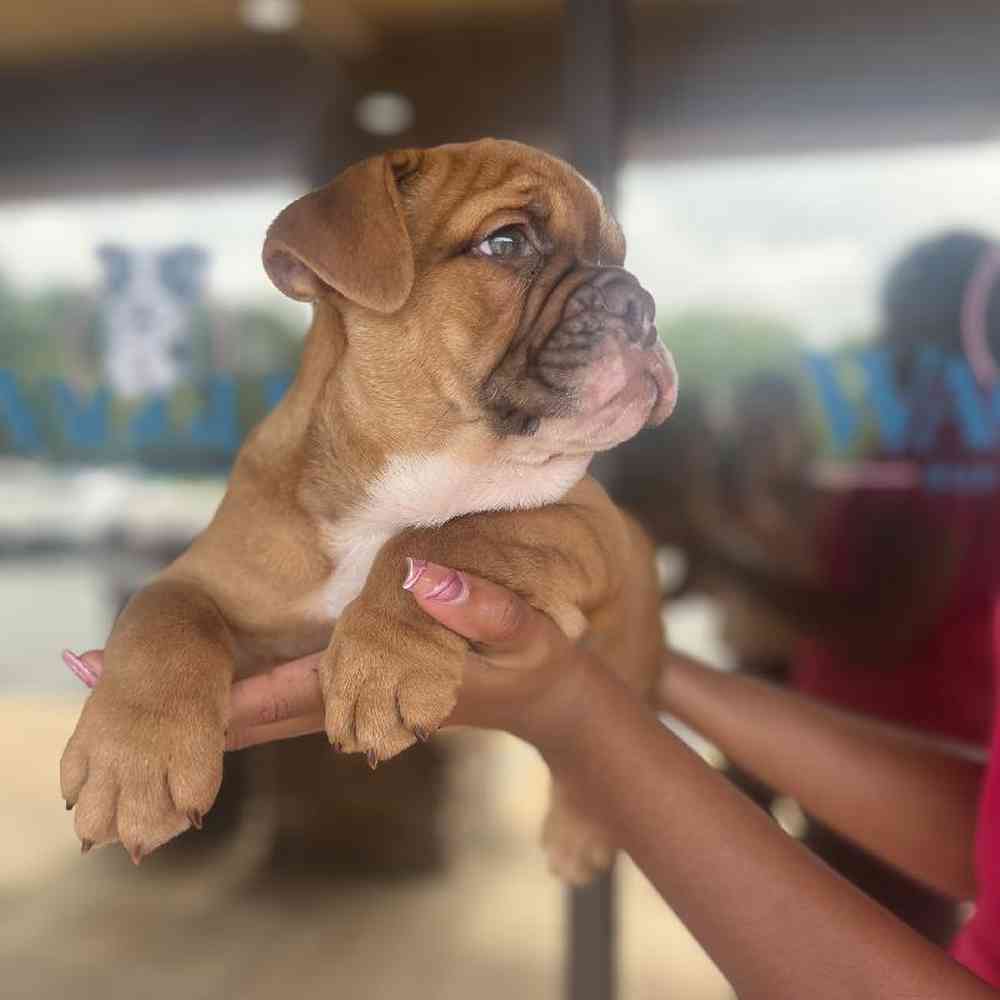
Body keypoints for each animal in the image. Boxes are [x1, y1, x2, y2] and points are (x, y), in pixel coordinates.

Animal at [58, 141, 676, 884]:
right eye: (506, 242)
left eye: (619, 254)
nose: (637, 298)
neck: (415, 462)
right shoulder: (210, 581)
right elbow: (161, 618)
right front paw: (133, 759)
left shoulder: (585, 523)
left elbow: (452, 532)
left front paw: (386, 658)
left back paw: (579, 830)